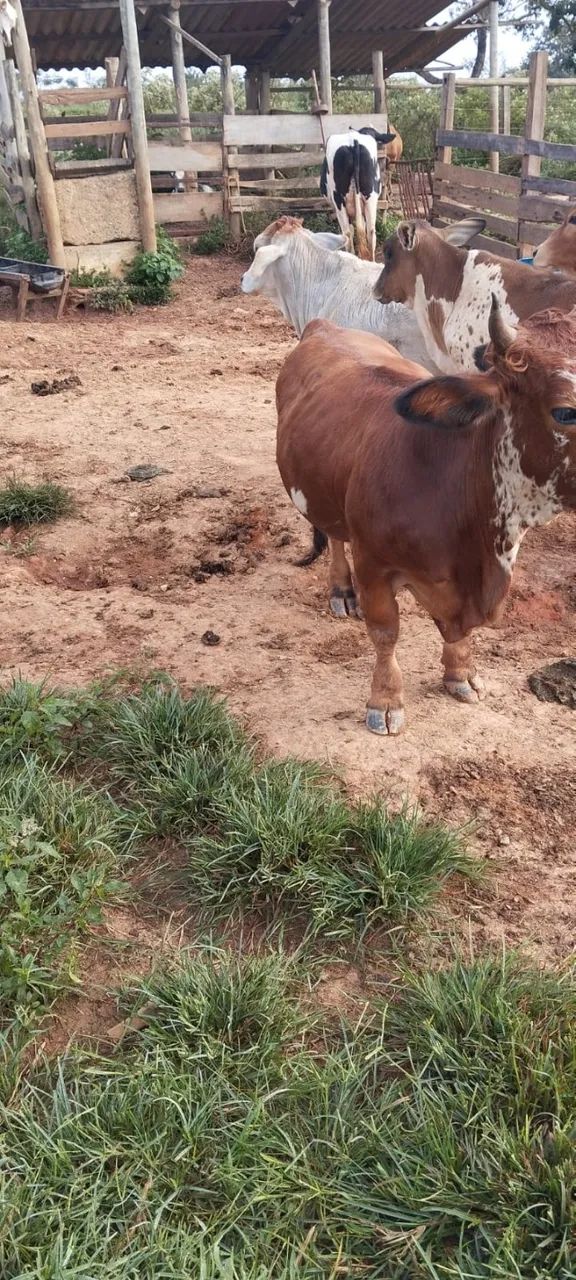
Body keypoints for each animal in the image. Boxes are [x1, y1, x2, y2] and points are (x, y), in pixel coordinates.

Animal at [275, 303, 576, 736]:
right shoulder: (373, 566)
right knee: (335, 537)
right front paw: (385, 700)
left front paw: (460, 673)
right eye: (565, 412)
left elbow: (451, 629)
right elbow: (385, 633)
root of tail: (325, 326)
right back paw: (342, 590)